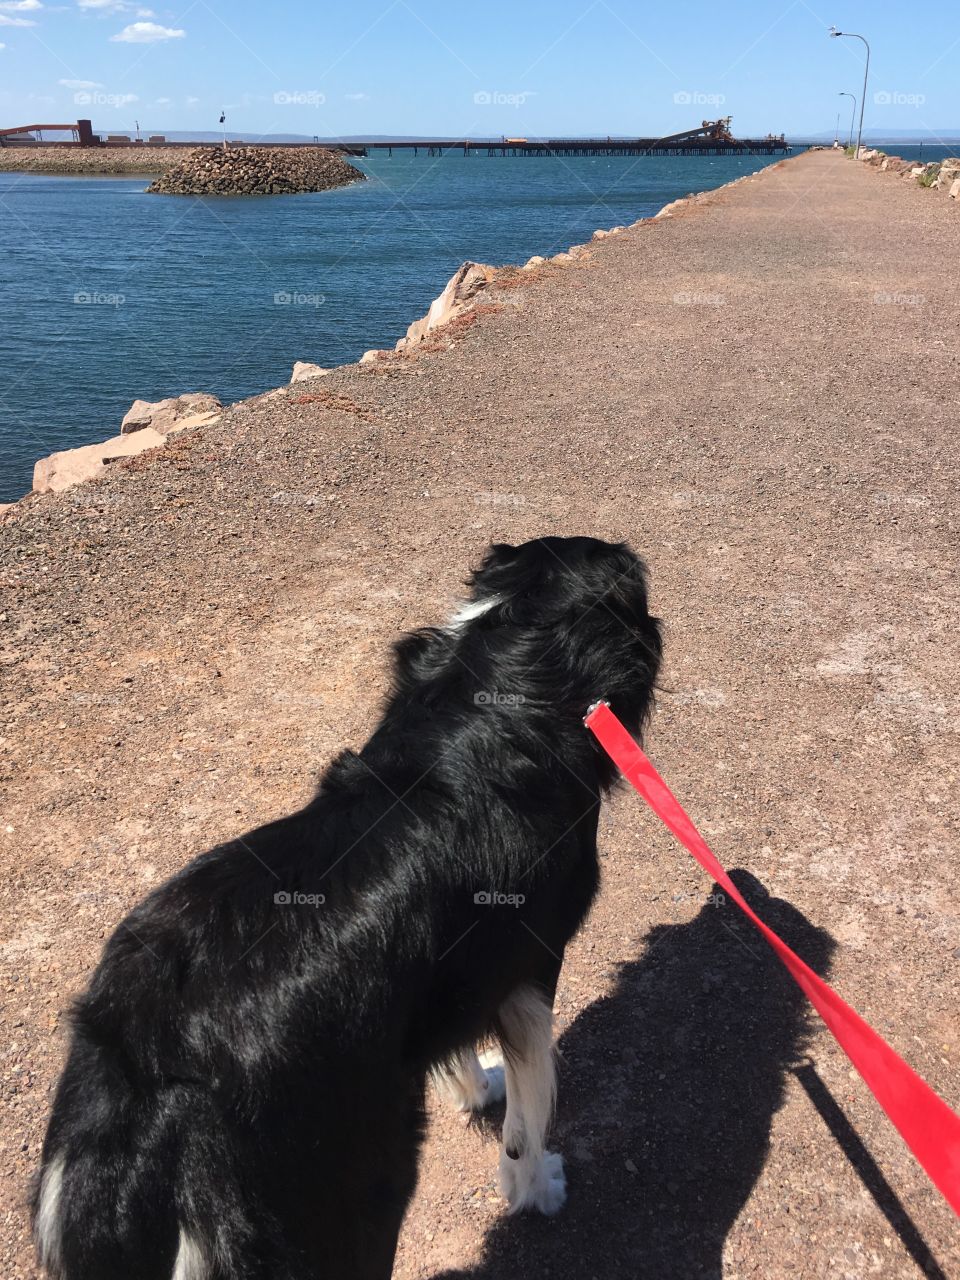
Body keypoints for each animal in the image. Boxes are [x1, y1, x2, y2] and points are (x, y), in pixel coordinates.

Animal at [35, 535, 660, 1274]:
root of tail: (148, 1064)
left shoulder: (447, 975)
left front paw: (474, 1088)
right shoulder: (531, 965)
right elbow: (528, 1117)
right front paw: (537, 1188)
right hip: (358, 1194)